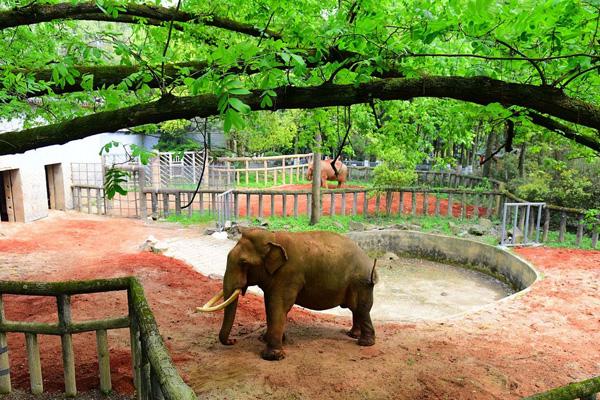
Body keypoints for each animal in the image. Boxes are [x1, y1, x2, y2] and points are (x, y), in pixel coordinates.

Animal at [202, 227, 380, 360]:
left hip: (360, 283)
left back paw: (364, 343)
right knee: (356, 310)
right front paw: (267, 339)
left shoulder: (289, 274)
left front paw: (271, 356)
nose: (233, 340)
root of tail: (368, 259)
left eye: (243, 262)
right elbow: (270, 304)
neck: (272, 237)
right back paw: (352, 334)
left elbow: (277, 305)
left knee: (362, 309)